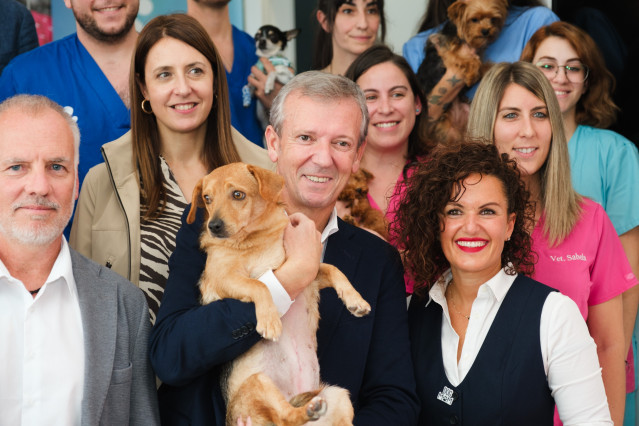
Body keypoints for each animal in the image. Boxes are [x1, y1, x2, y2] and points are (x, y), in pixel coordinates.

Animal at [188, 161, 372, 424]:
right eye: (207, 198)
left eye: (238, 195)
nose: (213, 226)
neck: (256, 238)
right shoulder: (223, 278)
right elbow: (261, 285)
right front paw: (270, 321)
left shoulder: (308, 272)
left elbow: (334, 269)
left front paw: (356, 301)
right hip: (260, 381)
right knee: (287, 416)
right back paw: (306, 410)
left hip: (338, 394)